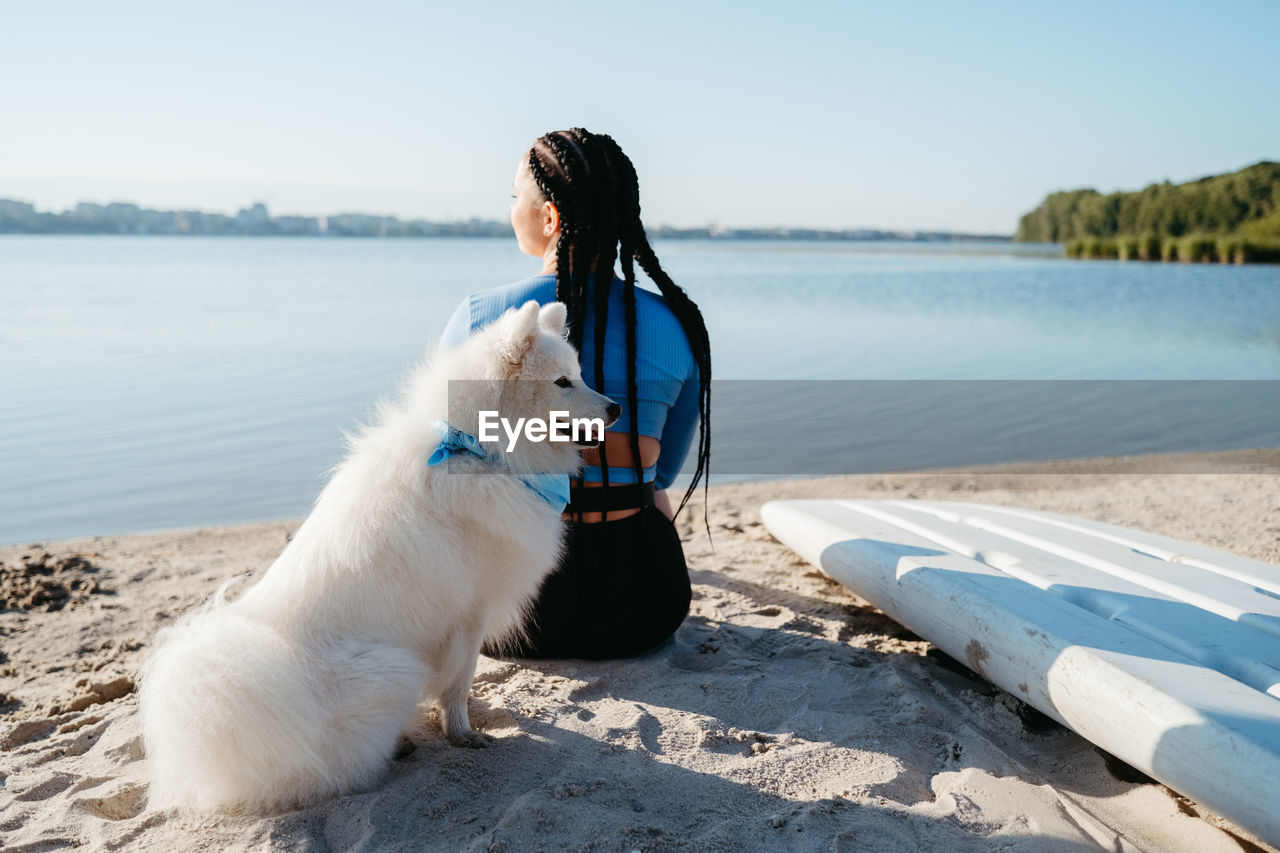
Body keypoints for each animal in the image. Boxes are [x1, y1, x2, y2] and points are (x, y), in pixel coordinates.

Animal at [137, 298, 616, 809]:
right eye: (562, 382)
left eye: (580, 374)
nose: (618, 407)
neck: (475, 449)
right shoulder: (470, 611)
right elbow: (460, 678)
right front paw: (462, 731)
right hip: (393, 669)